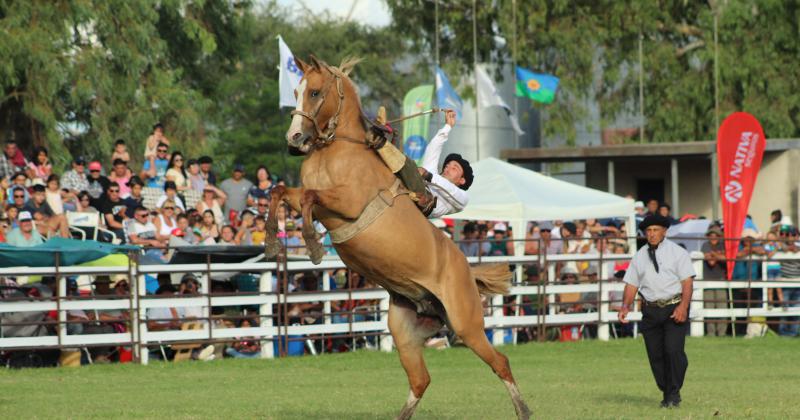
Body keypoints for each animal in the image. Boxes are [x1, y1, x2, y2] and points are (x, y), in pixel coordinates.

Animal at [262, 56, 536, 420]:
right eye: (296, 91)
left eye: (316, 92)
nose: (294, 138)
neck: (340, 150)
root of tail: (467, 270)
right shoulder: (315, 201)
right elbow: (282, 191)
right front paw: (271, 241)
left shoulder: (347, 202)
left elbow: (308, 197)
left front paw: (313, 243)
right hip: (405, 330)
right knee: (421, 380)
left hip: (467, 325)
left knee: (500, 363)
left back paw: (523, 410)